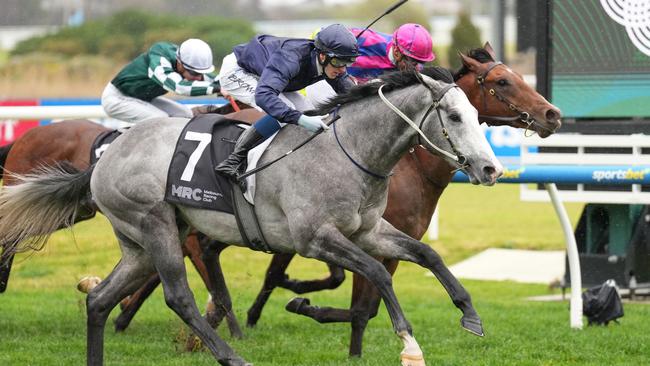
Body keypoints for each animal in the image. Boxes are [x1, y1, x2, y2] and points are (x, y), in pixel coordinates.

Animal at [0, 70, 502, 364]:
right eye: (454, 116)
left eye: (478, 115)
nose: (490, 169)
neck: (349, 151)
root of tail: (106, 158)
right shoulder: (315, 238)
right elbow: (378, 274)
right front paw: (409, 343)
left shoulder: (369, 230)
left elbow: (428, 255)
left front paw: (471, 316)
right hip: (154, 224)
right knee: (178, 297)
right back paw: (230, 355)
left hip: (141, 244)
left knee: (100, 300)